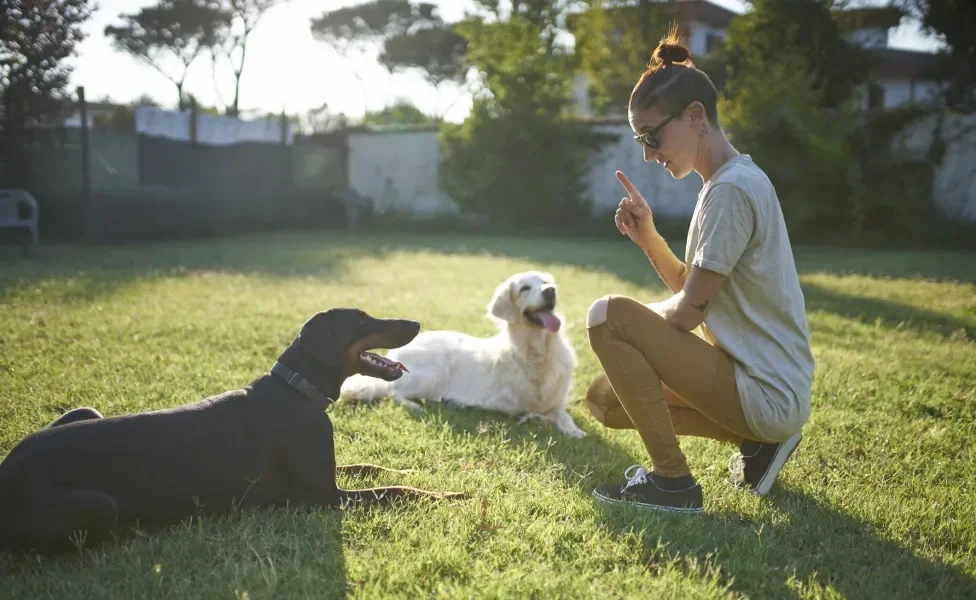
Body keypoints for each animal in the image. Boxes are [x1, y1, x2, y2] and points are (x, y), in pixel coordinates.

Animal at [0, 308, 466, 556]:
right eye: (362, 320)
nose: (416, 322)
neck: (296, 390)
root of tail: (8, 474)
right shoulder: (320, 498)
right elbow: (394, 492)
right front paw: (450, 495)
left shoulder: (324, 474)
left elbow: (370, 467)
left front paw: (407, 470)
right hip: (98, 503)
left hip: (84, 412)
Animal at [340, 270, 584, 436]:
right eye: (525, 288)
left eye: (545, 283)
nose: (550, 291)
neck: (539, 349)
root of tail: (396, 351)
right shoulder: (506, 404)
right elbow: (535, 413)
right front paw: (541, 420)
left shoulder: (556, 402)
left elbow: (563, 415)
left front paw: (574, 431)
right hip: (435, 375)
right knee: (394, 393)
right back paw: (418, 406)